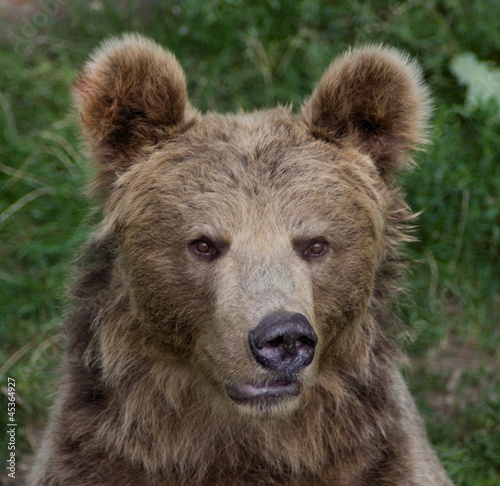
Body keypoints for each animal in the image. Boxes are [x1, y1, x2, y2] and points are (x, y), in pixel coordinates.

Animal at [30, 32, 454, 484]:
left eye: (315, 244)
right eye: (204, 244)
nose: (283, 337)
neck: (245, 443)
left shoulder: (381, 456)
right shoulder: (92, 454)